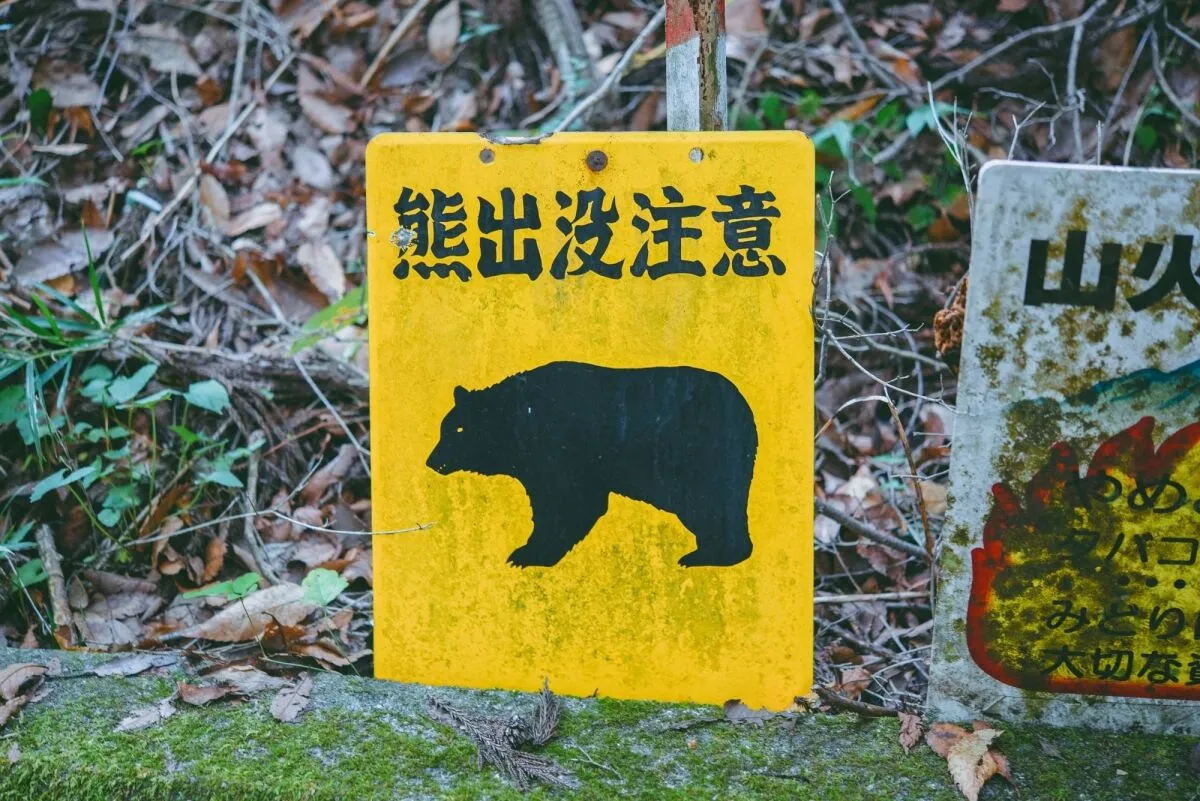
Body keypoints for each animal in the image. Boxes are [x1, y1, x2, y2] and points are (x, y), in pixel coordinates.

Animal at [425, 361, 757, 568]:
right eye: (445, 428)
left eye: (457, 429)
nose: (432, 461)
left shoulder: (560, 451)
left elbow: (568, 502)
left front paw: (528, 553)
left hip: (699, 457)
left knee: (711, 504)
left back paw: (710, 555)